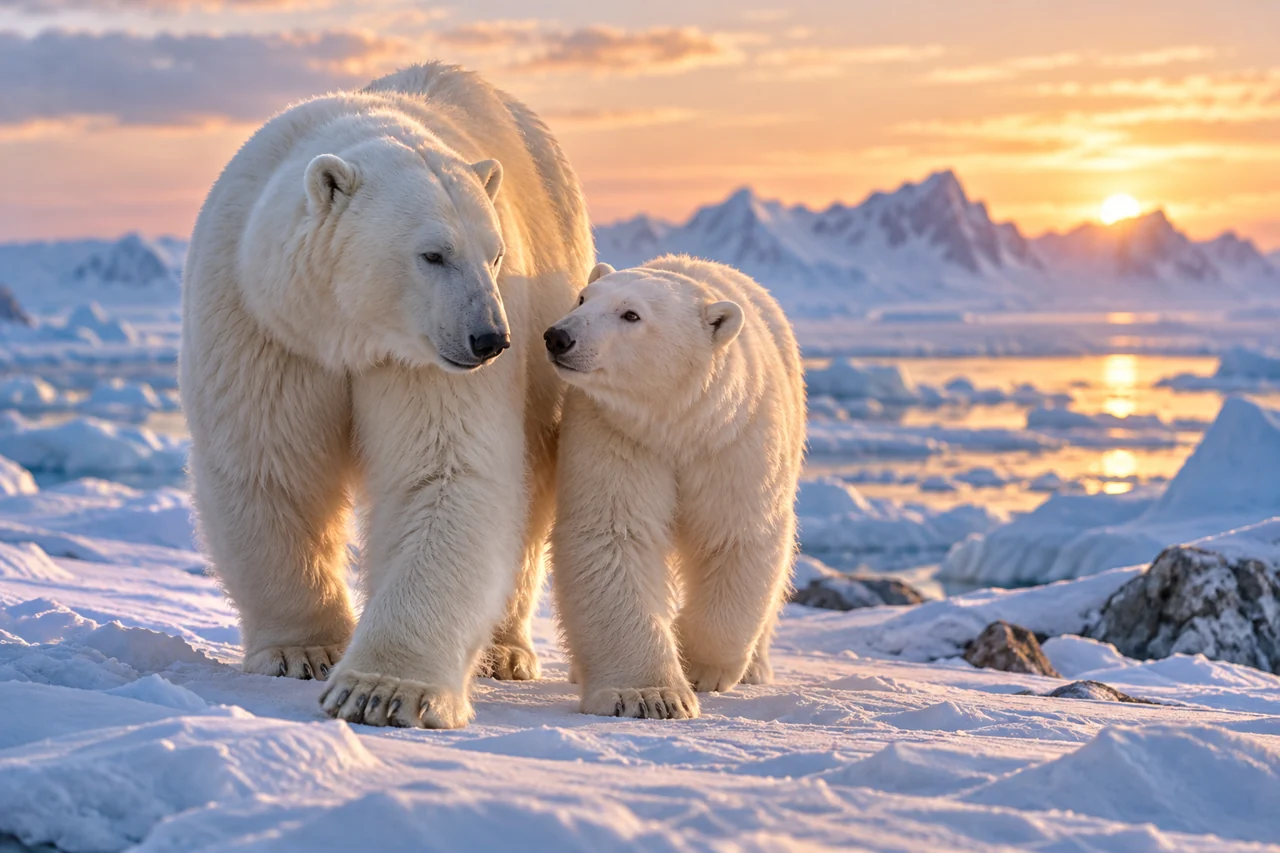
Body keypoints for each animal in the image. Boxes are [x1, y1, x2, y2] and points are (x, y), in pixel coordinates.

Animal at [180, 62, 593, 728]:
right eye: (433, 254)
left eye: (495, 255)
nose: (490, 339)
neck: (345, 330)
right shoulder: (264, 322)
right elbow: (270, 461)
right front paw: (303, 650)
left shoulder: (418, 357)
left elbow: (444, 470)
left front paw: (381, 692)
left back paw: (504, 651)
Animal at [544, 255, 806, 719]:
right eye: (582, 298)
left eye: (631, 314)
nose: (559, 336)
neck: (678, 423)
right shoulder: (616, 433)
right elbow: (615, 534)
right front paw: (650, 696)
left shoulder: (733, 441)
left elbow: (736, 536)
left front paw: (700, 666)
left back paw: (756, 668)